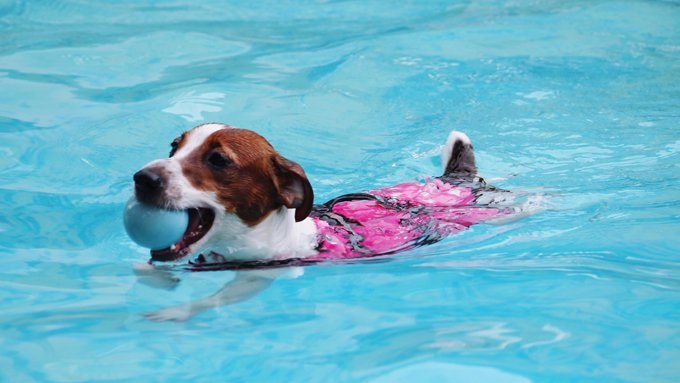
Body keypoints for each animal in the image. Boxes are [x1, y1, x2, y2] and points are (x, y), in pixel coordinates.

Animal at [131, 123, 516, 320]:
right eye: (173, 148)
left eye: (218, 160)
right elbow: (150, 266)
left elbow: (219, 297)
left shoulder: (259, 276)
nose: (142, 177)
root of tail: (452, 179)